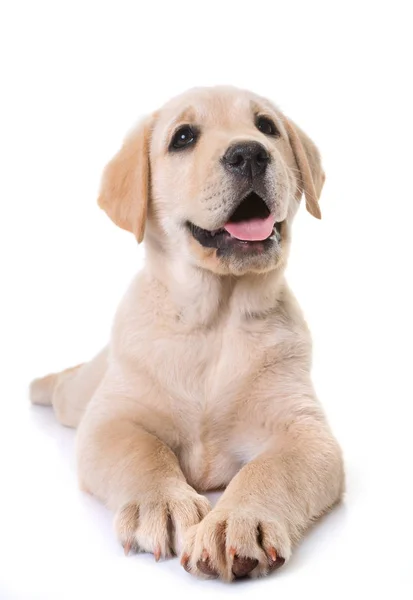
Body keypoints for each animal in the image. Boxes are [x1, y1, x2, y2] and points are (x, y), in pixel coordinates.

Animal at [30, 85, 342, 580]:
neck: (216, 320)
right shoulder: (112, 420)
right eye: (183, 137)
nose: (250, 153)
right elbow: (143, 453)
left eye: (266, 126)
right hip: (79, 398)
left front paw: (237, 520)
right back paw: (40, 383)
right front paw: (160, 503)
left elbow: (270, 470)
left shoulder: (307, 432)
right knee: (64, 387)